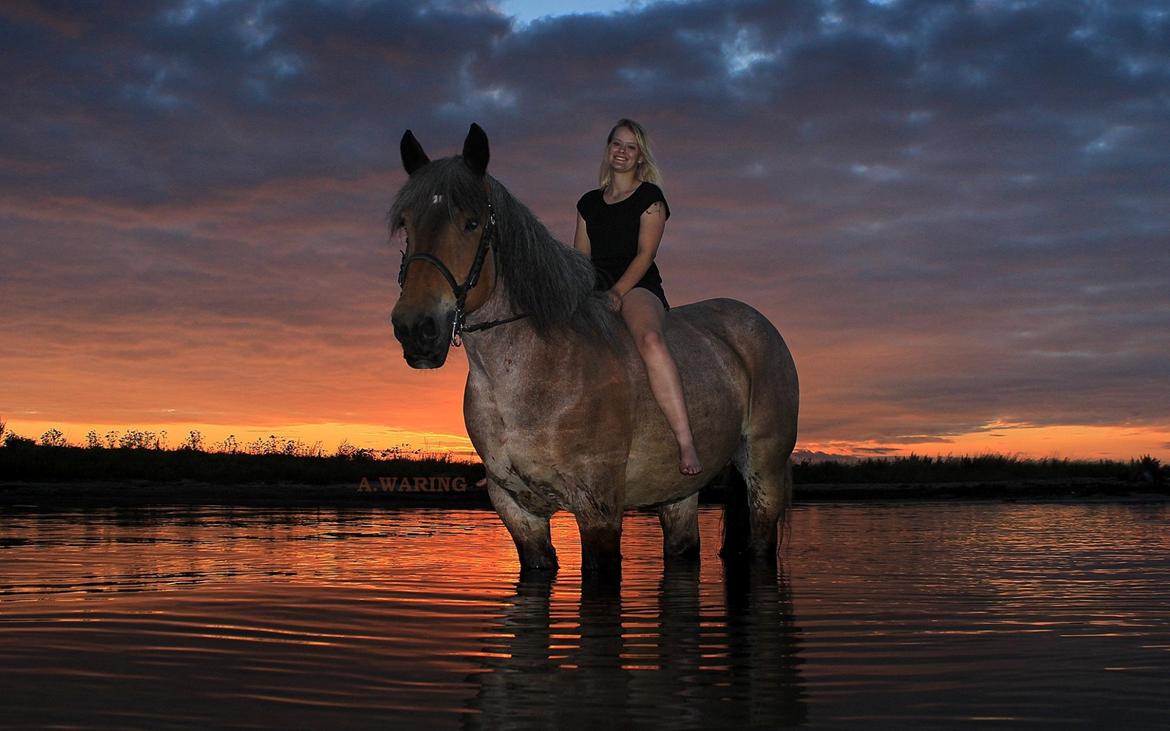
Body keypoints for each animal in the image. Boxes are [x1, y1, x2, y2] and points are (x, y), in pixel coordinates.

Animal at [388, 123, 800, 575]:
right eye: (406, 224)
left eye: (472, 223)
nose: (415, 329)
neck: (531, 374)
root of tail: (758, 324)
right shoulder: (519, 515)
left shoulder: (599, 511)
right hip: (678, 493)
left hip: (764, 471)